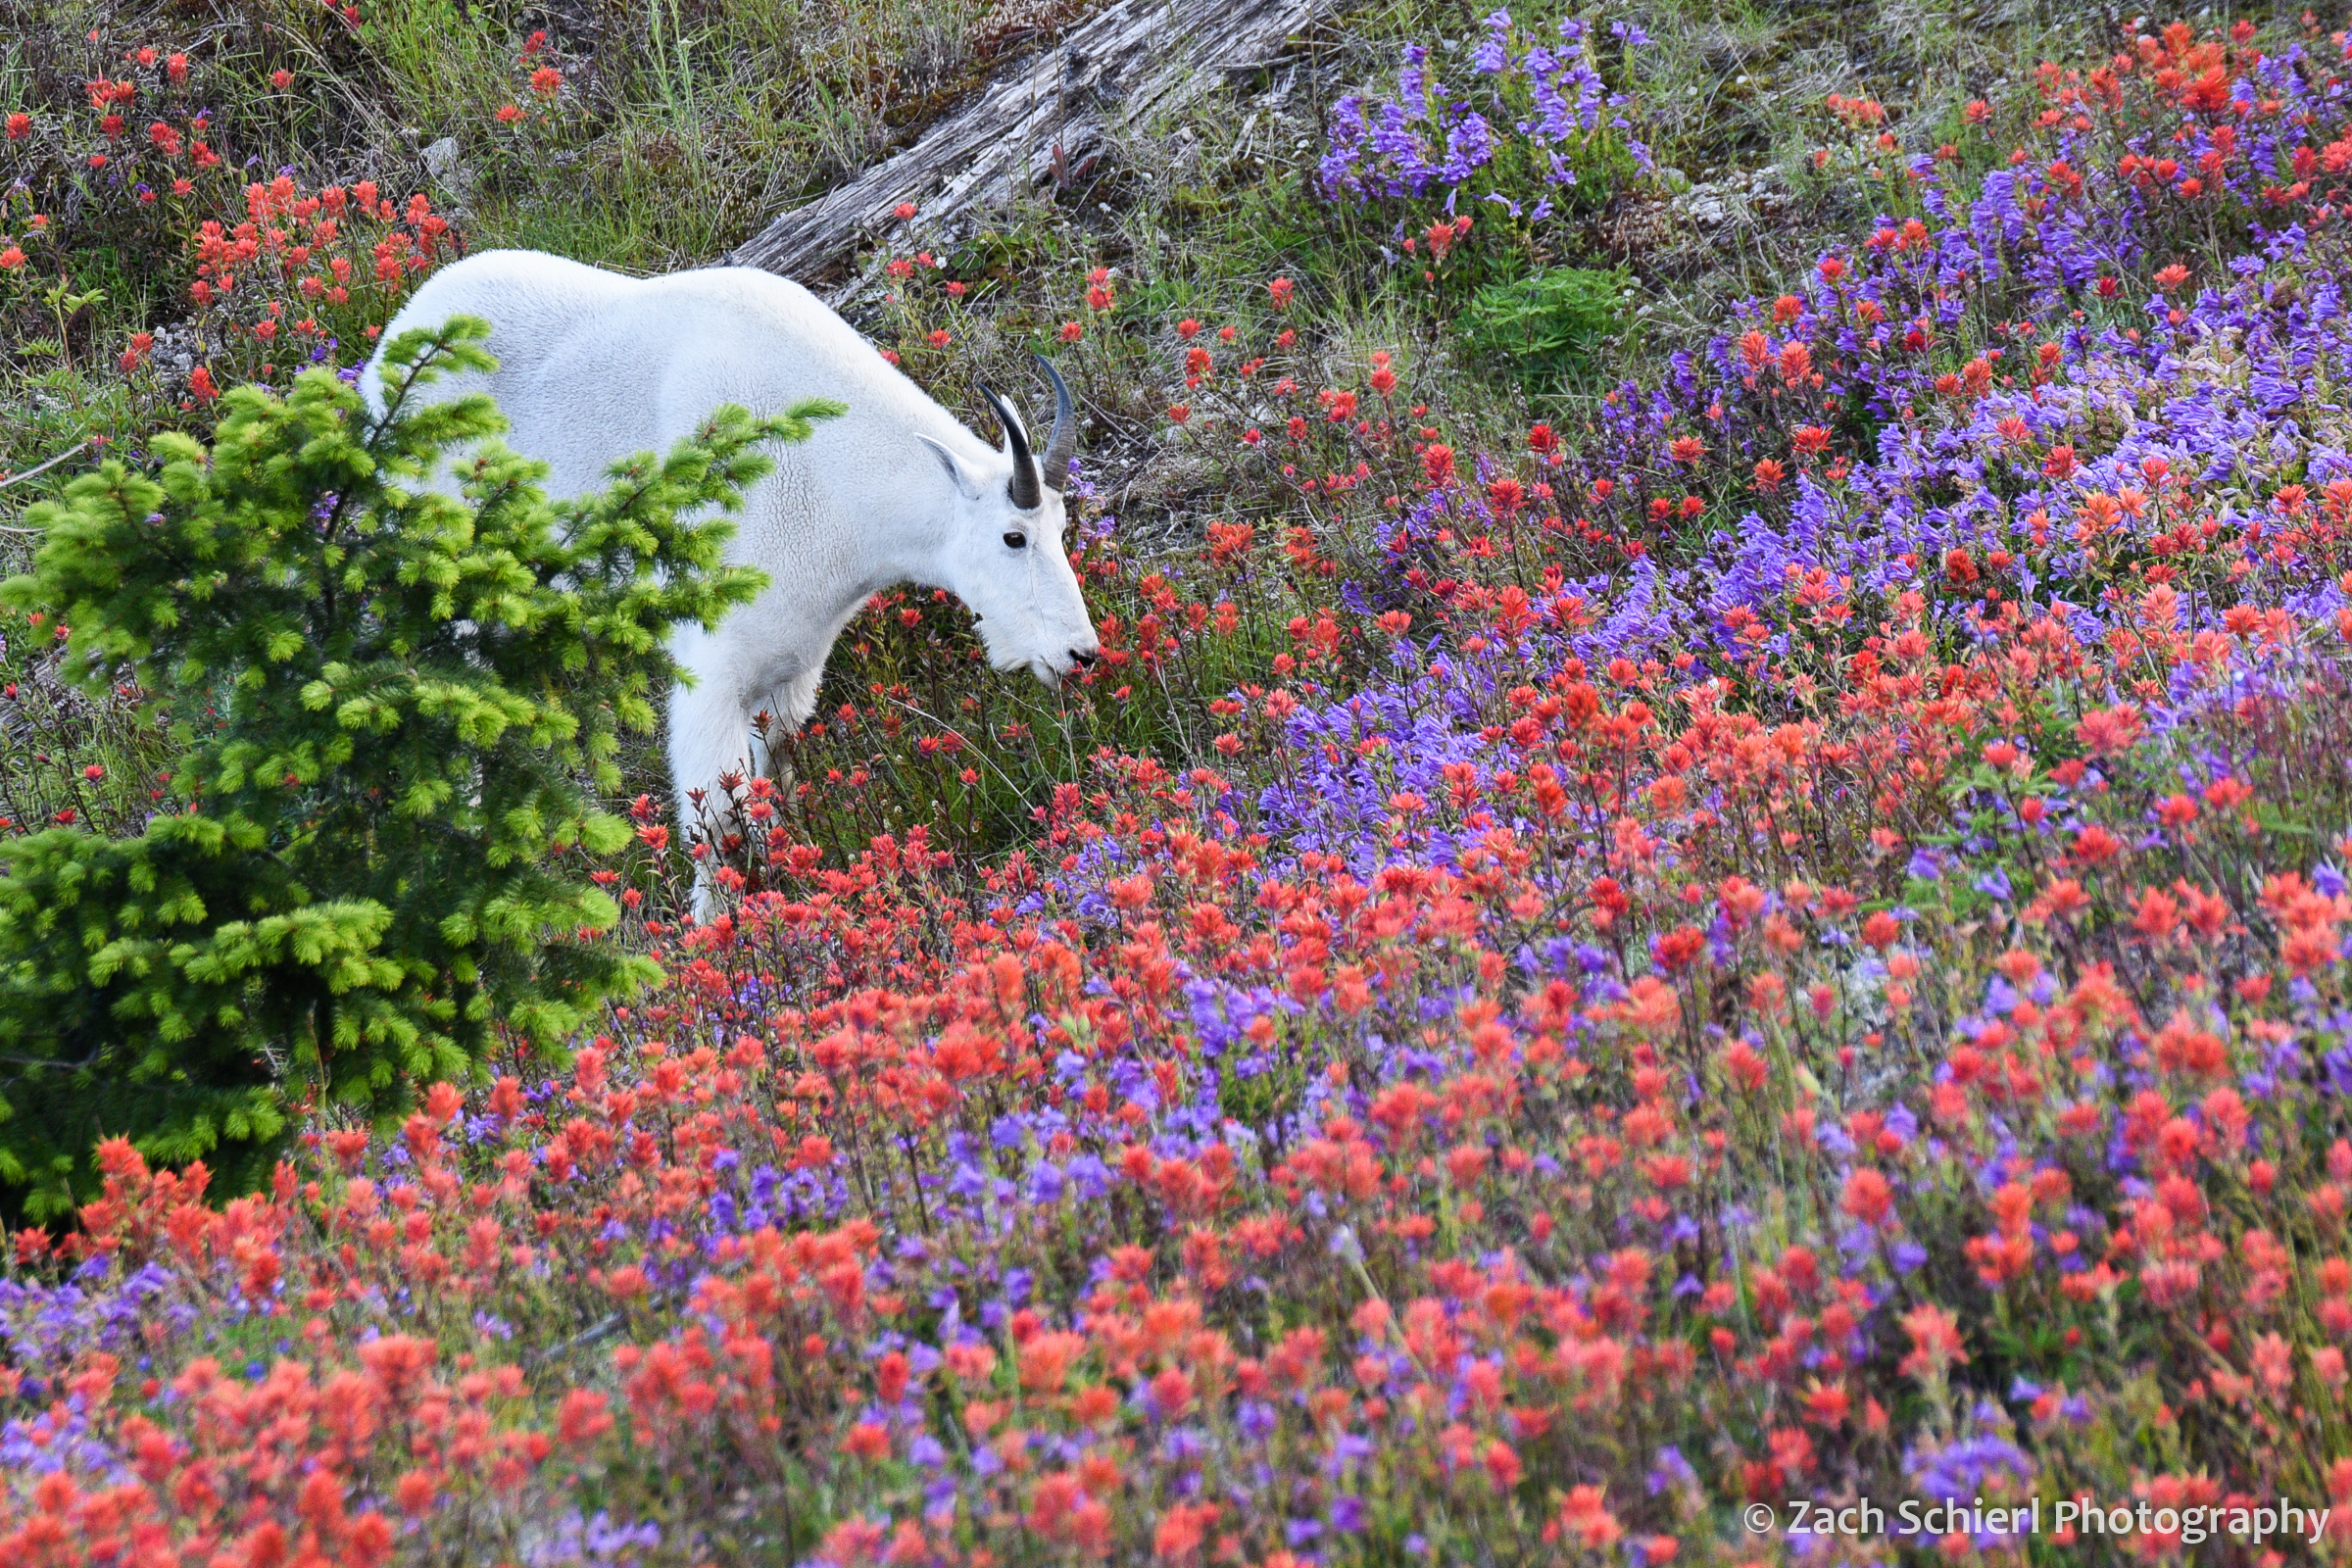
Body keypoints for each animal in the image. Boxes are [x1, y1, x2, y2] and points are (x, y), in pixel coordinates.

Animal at [360, 250, 1099, 912]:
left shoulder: (791, 669)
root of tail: (393, 343)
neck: (834, 477)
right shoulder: (711, 670)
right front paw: (711, 934)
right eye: (1013, 537)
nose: (1081, 654)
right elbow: (714, 821)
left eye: (1064, 527)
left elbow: (771, 790)